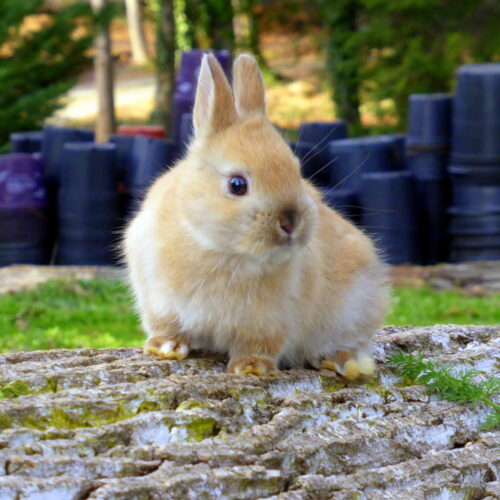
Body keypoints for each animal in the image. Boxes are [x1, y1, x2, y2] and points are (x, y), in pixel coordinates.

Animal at [123, 52, 388, 378]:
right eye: (237, 185)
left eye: (296, 172)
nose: (290, 223)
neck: (219, 250)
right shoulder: (158, 298)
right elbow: (167, 325)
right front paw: (165, 348)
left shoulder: (270, 319)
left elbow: (260, 344)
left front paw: (251, 368)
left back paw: (346, 363)